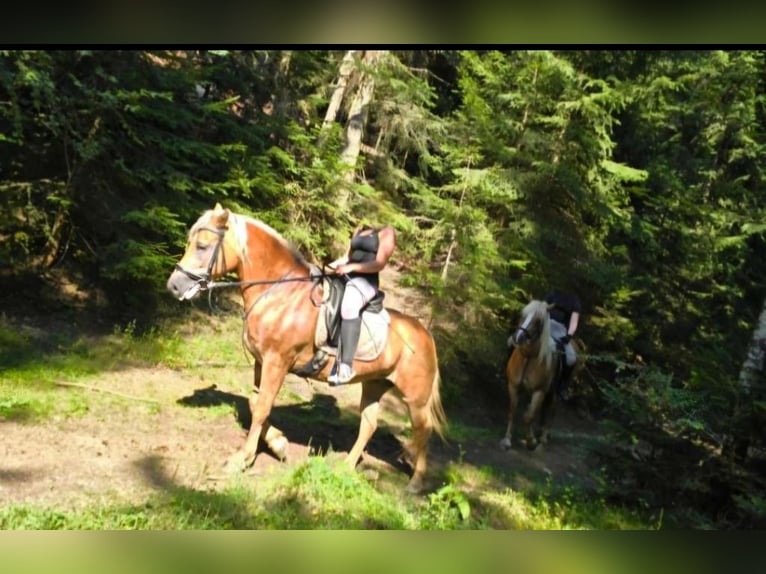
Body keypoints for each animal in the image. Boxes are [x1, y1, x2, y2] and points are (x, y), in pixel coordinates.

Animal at [165, 204, 448, 496]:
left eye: (202, 246)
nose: (174, 286)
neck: (279, 294)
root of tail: (425, 334)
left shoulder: (277, 362)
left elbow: (263, 407)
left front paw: (241, 459)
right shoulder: (261, 362)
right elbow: (255, 403)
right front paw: (278, 443)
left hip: (415, 398)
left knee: (422, 430)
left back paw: (415, 483)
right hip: (374, 384)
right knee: (369, 424)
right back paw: (345, 466)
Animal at [500, 300, 580, 452]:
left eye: (538, 321)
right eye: (523, 315)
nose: (517, 337)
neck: (529, 357)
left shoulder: (539, 391)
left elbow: (528, 416)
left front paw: (531, 441)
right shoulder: (513, 386)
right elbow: (513, 410)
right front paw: (507, 439)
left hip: (555, 393)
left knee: (552, 412)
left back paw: (543, 439)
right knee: (543, 411)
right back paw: (539, 432)